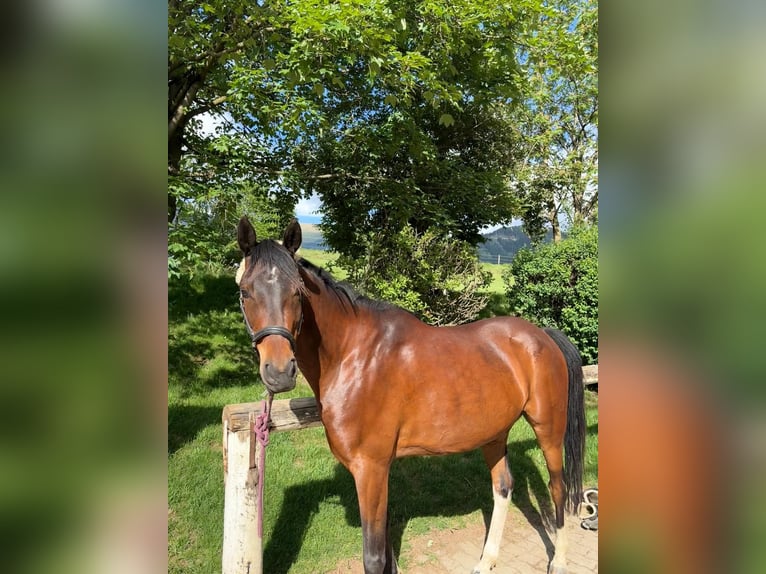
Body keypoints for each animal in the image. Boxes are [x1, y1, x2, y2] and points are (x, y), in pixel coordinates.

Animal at [235, 216, 585, 574]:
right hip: (494, 433)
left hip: (548, 429)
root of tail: (542, 335)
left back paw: (559, 561)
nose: (279, 372)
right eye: (244, 292)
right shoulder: (378, 474)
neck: (353, 354)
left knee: (558, 488)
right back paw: (486, 560)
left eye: (298, 292)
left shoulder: (371, 469)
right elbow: (387, 551)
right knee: (503, 487)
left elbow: (374, 557)